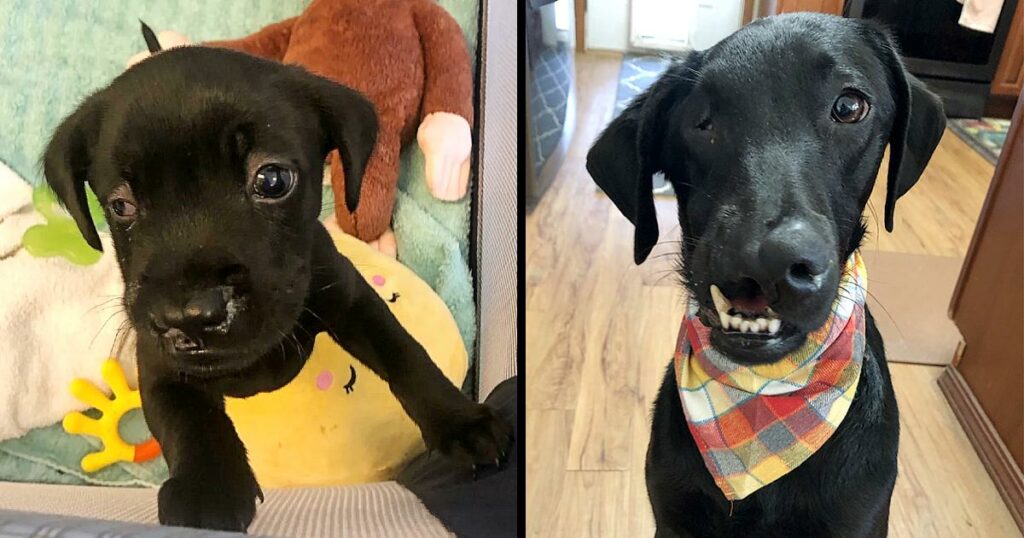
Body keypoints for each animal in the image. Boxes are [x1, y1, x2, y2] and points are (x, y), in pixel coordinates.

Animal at [45, 47, 512, 532]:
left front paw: (460, 421)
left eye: (272, 180)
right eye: (121, 205)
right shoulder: (159, 362)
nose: (191, 315)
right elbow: (186, 419)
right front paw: (207, 491)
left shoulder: (349, 297)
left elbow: (405, 353)